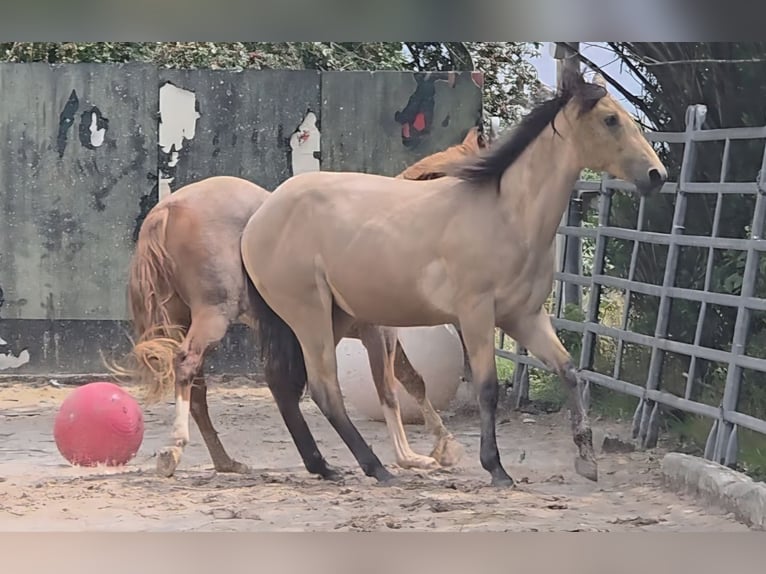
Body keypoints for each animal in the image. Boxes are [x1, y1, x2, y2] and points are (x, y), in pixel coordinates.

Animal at [111, 127, 485, 479]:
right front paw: (414, 455)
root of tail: (168, 209)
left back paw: (224, 461)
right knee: (187, 365)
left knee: (199, 389)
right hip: (213, 316)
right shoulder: (379, 332)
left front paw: (440, 446)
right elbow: (392, 388)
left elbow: (410, 380)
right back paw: (176, 448)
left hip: (182, 319)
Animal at [240, 69, 668, 487]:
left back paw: (326, 466)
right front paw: (496, 469)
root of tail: (259, 216)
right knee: (325, 390)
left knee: (289, 386)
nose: (657, 175)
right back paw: (376, 468)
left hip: (335, 317)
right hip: (309, 315)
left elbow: (570, 371)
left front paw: (586, 461)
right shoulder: (476, 315)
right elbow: (487, 388)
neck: (508, 215)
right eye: (610, 119)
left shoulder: (523, 318)